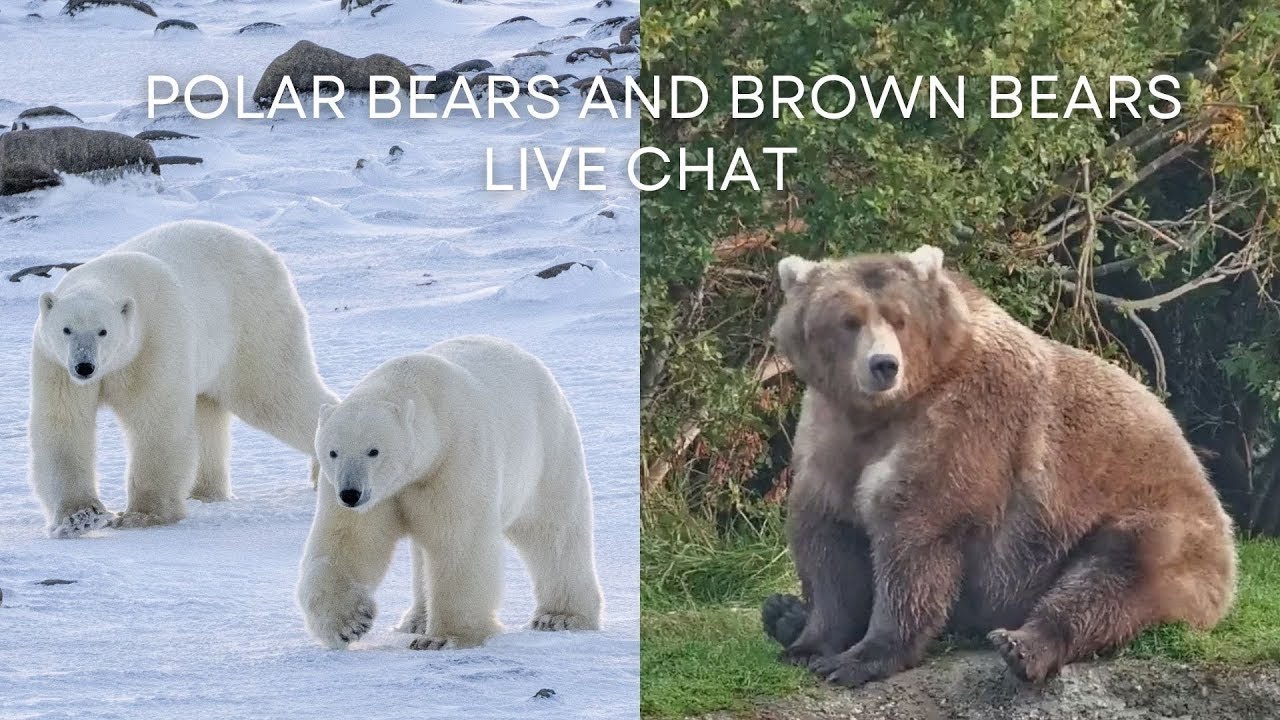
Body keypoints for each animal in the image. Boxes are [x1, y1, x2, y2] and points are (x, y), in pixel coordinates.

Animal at [28, 220, 338, 537]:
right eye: (66, 329)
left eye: (103, 331)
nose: (84, 366)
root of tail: (264, 251)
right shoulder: (54, 364)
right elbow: (65, 424)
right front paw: (79, 518)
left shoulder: (154, 342)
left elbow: (156, 420)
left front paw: (142, 515)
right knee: (208, 412)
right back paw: (205, 492)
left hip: (254, 325)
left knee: (273, 394)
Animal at [295, 335, 604, 650]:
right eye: (333, 452)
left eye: (374, 451)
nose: (350, 494)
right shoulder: (379, 491)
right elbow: (348, 540)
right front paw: (349, 624)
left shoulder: (456, 458)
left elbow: (458, 540)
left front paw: (443, 638)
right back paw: (416, 619)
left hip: (547, 452)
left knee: (553, 532)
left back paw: (560, 616)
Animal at [760, 245, 1236, 686]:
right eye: (849, 320)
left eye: (900, 319)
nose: (884, 366)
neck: (884, 413)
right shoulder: (831, 439)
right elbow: (829, 540)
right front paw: (808, 644)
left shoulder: (967, 424)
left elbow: (915, 539)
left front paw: (858, 659)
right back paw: (782, 614)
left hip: (1157, 522)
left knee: (1109, 582)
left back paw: (1022, 645)